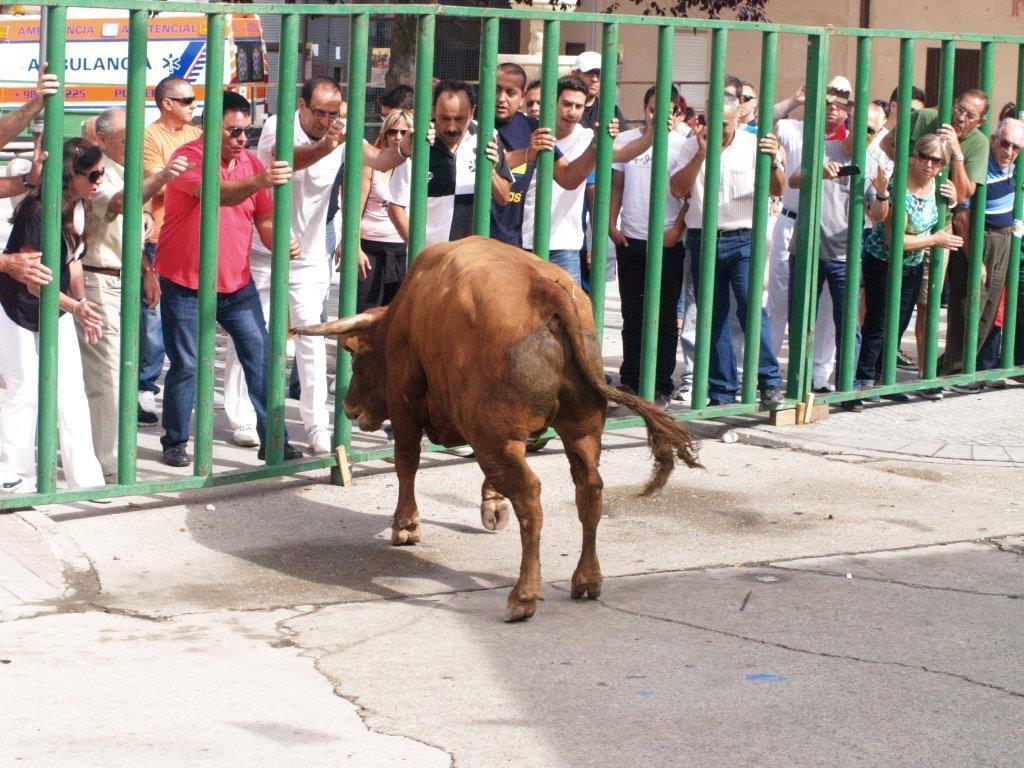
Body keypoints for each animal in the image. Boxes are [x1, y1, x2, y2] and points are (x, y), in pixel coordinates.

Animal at [292, 237, 700, 622]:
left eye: (358, 356)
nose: (349, 406)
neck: (405, 311)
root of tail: (546, 290)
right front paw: (492, 505)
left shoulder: (408, 403)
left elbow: (406, 461)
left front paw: (405, 525)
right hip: (579, 430)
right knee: (589, 490)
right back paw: (586, 579)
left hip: (502, 435)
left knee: (531, 497)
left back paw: (523, 596)